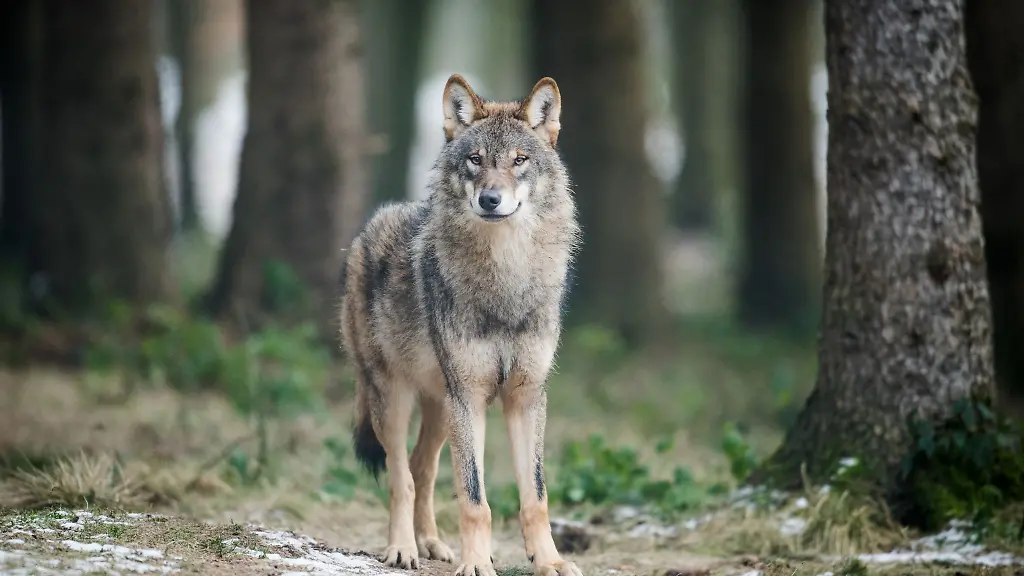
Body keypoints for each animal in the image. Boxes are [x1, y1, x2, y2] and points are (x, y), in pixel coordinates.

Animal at [338, 74, 582, 576]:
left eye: (519, 160)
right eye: (476, 159)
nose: (490, 199)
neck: (506, 277)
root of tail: (363, 233)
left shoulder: (526, 397)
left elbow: (536, 497)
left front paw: (548, 561)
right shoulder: (468, 396)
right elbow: (474, 499)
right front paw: (475, 565)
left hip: (438, 408)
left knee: (422, 468)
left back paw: (432, 543)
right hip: (395, 399)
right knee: (401, 476)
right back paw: (403, 549)